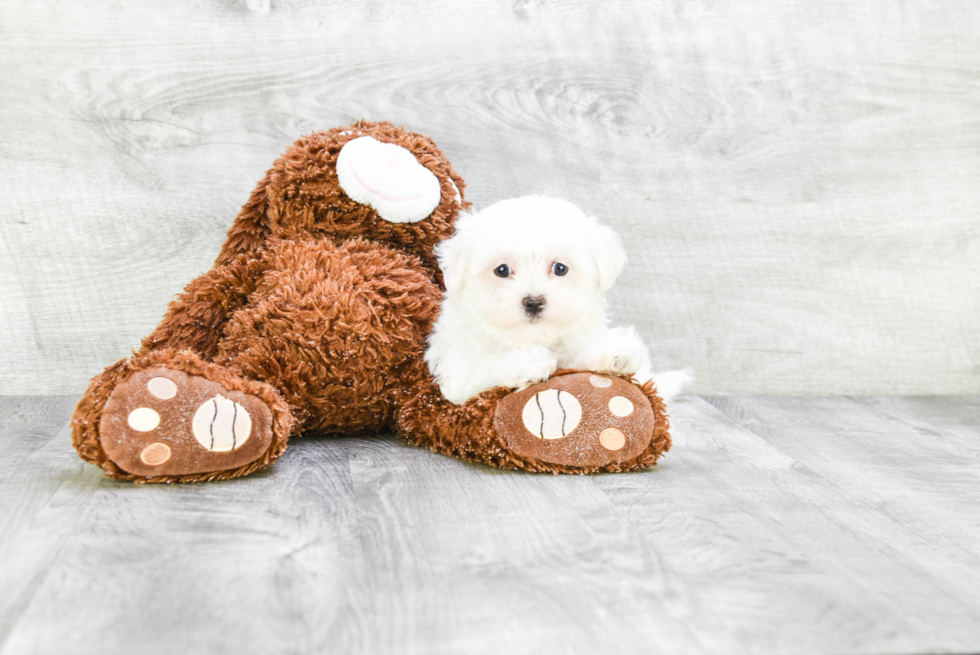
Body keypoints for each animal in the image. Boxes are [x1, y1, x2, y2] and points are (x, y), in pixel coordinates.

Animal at [424, 196, 692, 404]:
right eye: (501, 270)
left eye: (560, 268)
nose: (533, 301)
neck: (534, 338)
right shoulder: (456, 380)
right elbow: (484, 371)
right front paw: (528, 362)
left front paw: (612, 354)